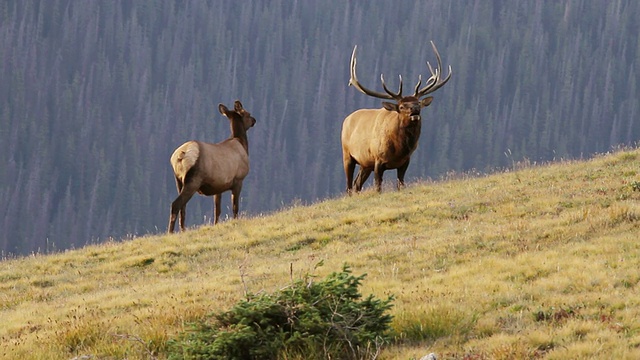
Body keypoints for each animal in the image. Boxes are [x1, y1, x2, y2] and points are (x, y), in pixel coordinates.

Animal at [169, 100, 256, 233]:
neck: (242, 144)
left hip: (178, 180)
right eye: (248, 113)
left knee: (183, 207)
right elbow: (235, 207)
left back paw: (183, 230)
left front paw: (216, 224)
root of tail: (180, 155)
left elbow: (217, 210)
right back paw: (170, 232)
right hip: (193, 180)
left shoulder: (218, 186)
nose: (254, 120)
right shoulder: (238, 180)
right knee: (176, 204)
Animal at [340, 40, 450, 193]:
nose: (415, 109)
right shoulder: (378, 160)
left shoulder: (405, 161)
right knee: (349, 185)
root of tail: (346, 119)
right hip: (347, 155)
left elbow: (400, 184)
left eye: (418, 103)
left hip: (365, 163)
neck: (400, 148)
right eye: (402, 106)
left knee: (357, 184)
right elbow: (378, 186)